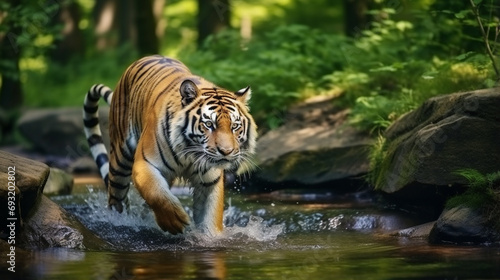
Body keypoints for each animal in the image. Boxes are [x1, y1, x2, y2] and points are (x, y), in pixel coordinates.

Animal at [83, 53, 258, 235]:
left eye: (235, 126)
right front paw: (174, 221)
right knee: (116, 198)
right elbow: (156, 192)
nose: (226, 151)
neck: (190, 153)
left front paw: (210, 235)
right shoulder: (144, 164)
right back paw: (119, 219)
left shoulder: (210, 180)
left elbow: (211, 215)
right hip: (120, 161)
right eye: (209, 124)